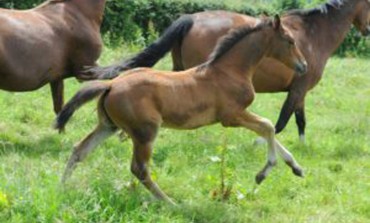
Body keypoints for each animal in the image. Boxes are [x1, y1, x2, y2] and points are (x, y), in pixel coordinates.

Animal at [55, 16, 308, 203]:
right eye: (289, 41)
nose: (303, 65)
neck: (229, 71)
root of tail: (111, 84)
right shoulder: (231, 116)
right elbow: (268, 126)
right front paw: (262, 174)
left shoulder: (237, 116)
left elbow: (269, 130)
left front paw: (297, 168)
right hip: (145, 132)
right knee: (140, 169)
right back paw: (170, 203)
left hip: (108, 126)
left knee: (80, 150)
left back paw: (63, 187)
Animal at [89, 0, 370, 143]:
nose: (368, 30)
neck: (314, 34)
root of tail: (191, 18)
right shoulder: (299, 88)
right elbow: (282, 121)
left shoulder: (300, 90)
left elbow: (300, 120)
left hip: (181, 73)